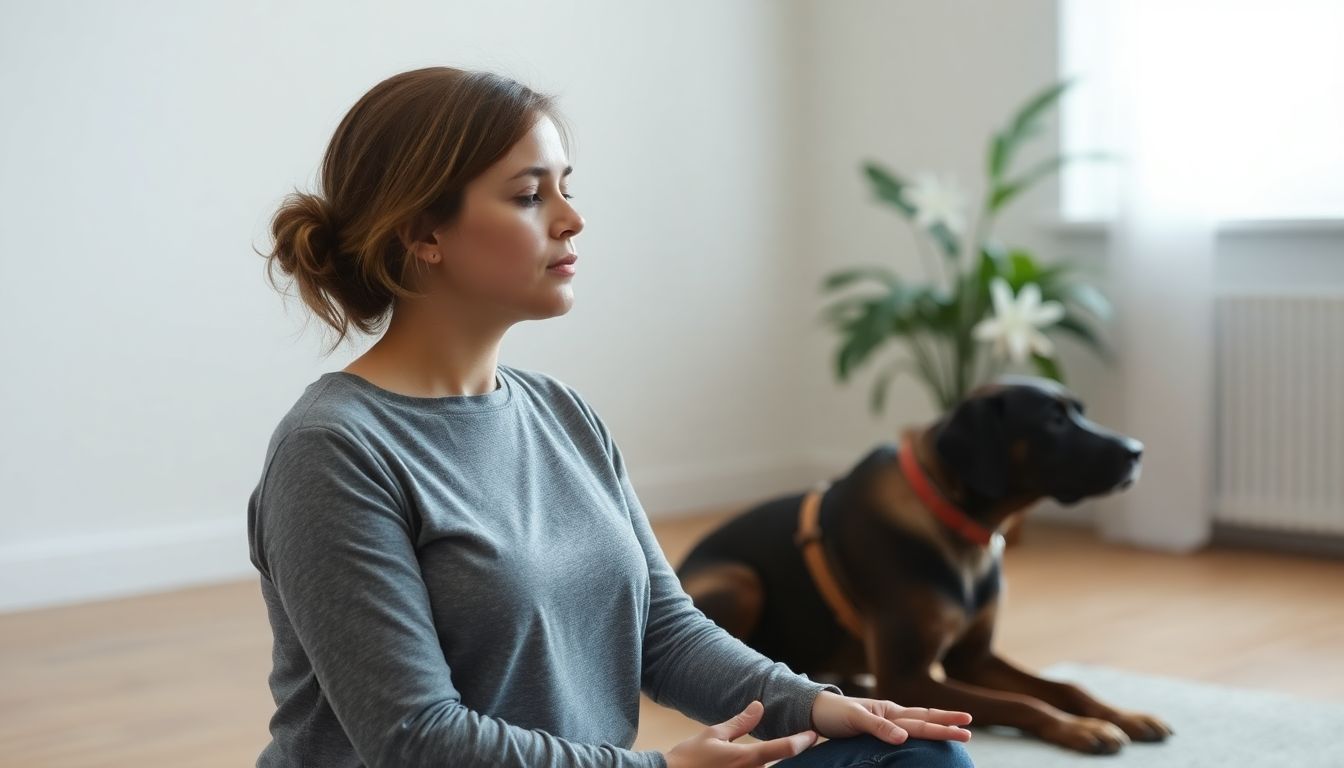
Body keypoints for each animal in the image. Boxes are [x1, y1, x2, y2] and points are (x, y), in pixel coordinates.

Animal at [677, 376, 1171, 753]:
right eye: (1053, 420)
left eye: (1079, 412)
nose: (1137, 451)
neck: (960, 526)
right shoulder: (909, 678)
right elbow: (1021, 703)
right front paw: (1080, 728)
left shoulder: (974, 658)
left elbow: (1065, 687)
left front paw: (1125, 715)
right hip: (742, 580)